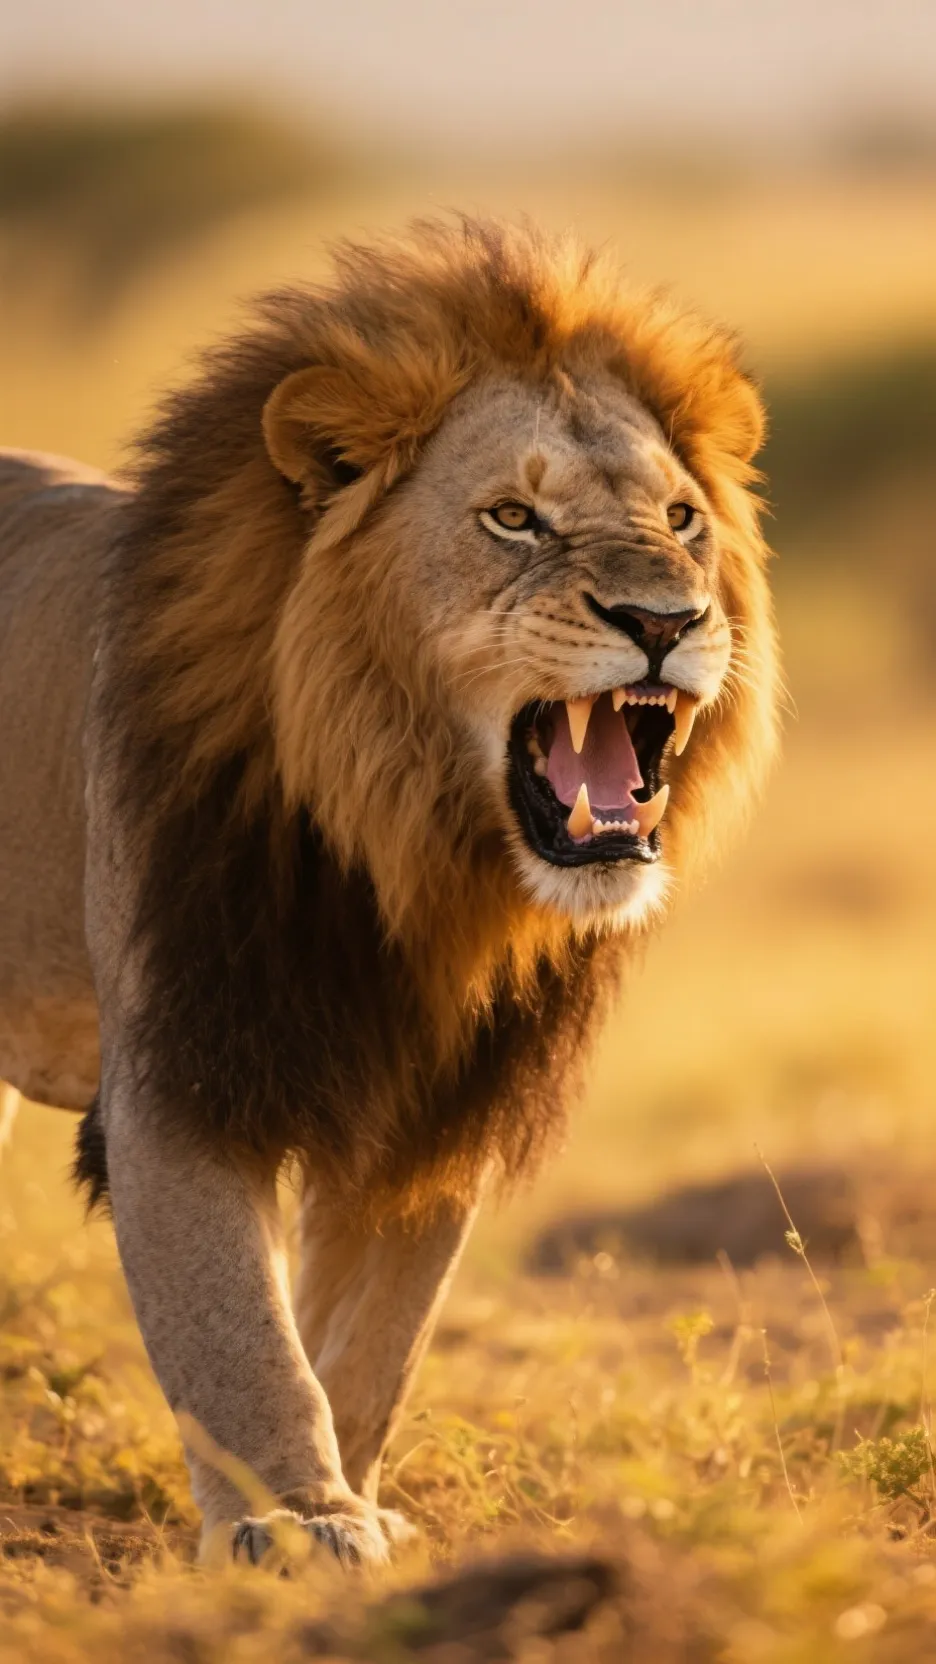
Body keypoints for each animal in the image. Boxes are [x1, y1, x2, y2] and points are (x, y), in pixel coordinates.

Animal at [0, 217, 779, 1565]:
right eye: (513, 517)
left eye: (683, 518)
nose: (664, 619)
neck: (418, 860)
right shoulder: (187, 1068)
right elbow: (240, 1332)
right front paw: (296, 1521)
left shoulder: (441, 1102)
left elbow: (373, 1342)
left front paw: (349, 1500)